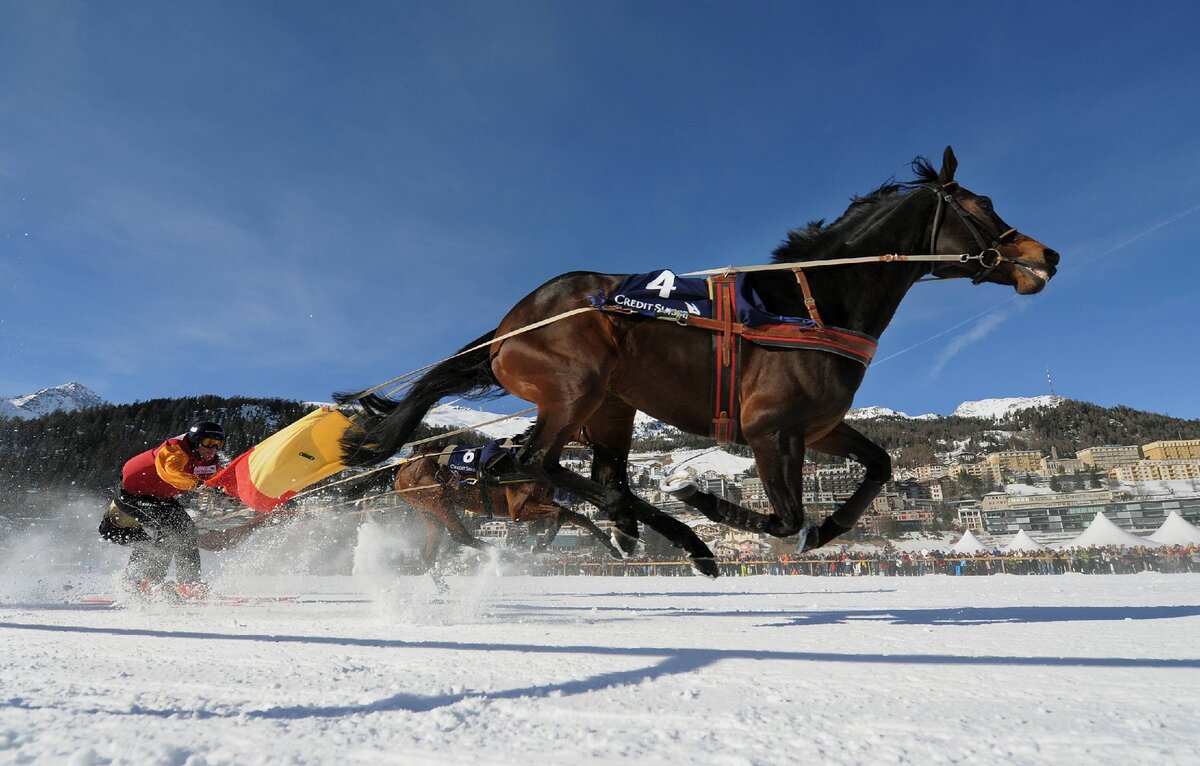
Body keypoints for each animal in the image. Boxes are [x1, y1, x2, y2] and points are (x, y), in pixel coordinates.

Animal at [340, 150, 1060, 578]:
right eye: (981, 206)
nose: (1045, 254)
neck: (813, 301)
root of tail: (512, 324)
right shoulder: (771, 429)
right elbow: (785, 516)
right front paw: (708, 503)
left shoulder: (818, 426)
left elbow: (878, 467)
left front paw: (829, 528)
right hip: (574, 387)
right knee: (533, 463)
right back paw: (661, 527)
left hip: (611, 406)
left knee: (593, 475)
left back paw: (640, 526)